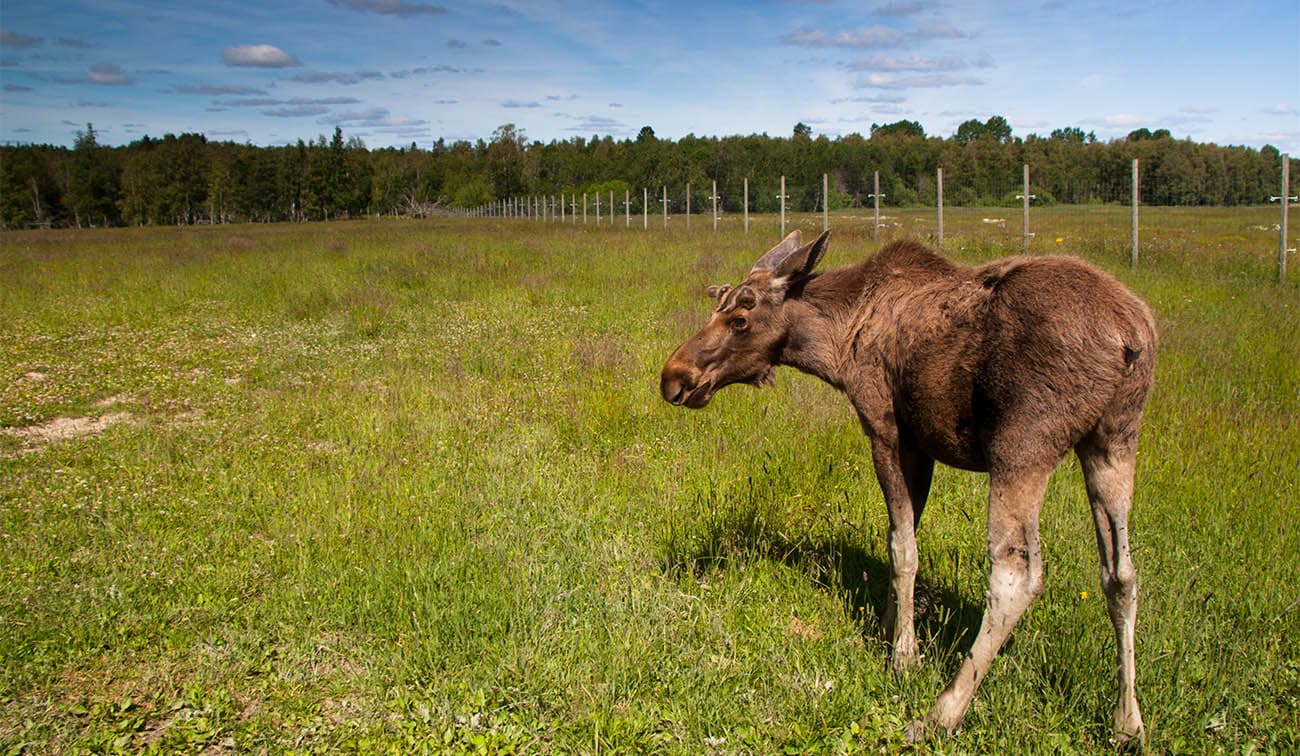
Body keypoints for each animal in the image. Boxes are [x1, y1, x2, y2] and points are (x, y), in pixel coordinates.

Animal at [660, 230, 1155, 745]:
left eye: (739, 318)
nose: (673, 376)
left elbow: (903, 549)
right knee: (1121, 573)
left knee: (1016, 576)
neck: (837, 343)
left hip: (1022, 447)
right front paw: (888, 625)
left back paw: (942, 713)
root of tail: (1131, 336)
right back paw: (1127, 722)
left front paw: (905, 656)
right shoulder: (921, 445)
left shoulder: (886, 429)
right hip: (1114, 440)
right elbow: (902, 538)